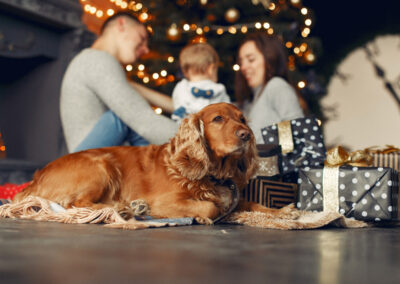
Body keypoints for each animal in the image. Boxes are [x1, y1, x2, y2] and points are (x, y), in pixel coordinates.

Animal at [14, 102, 296, 224]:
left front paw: (284, 212)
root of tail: (35, 179)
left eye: (242, 119)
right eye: (218, 119)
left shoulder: (234, 200)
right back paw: (126, 208)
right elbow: (209, 207)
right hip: (101, 165)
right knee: (75, 204)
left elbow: (254, 205)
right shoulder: (165, 201)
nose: (246, 135)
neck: (214, 174)